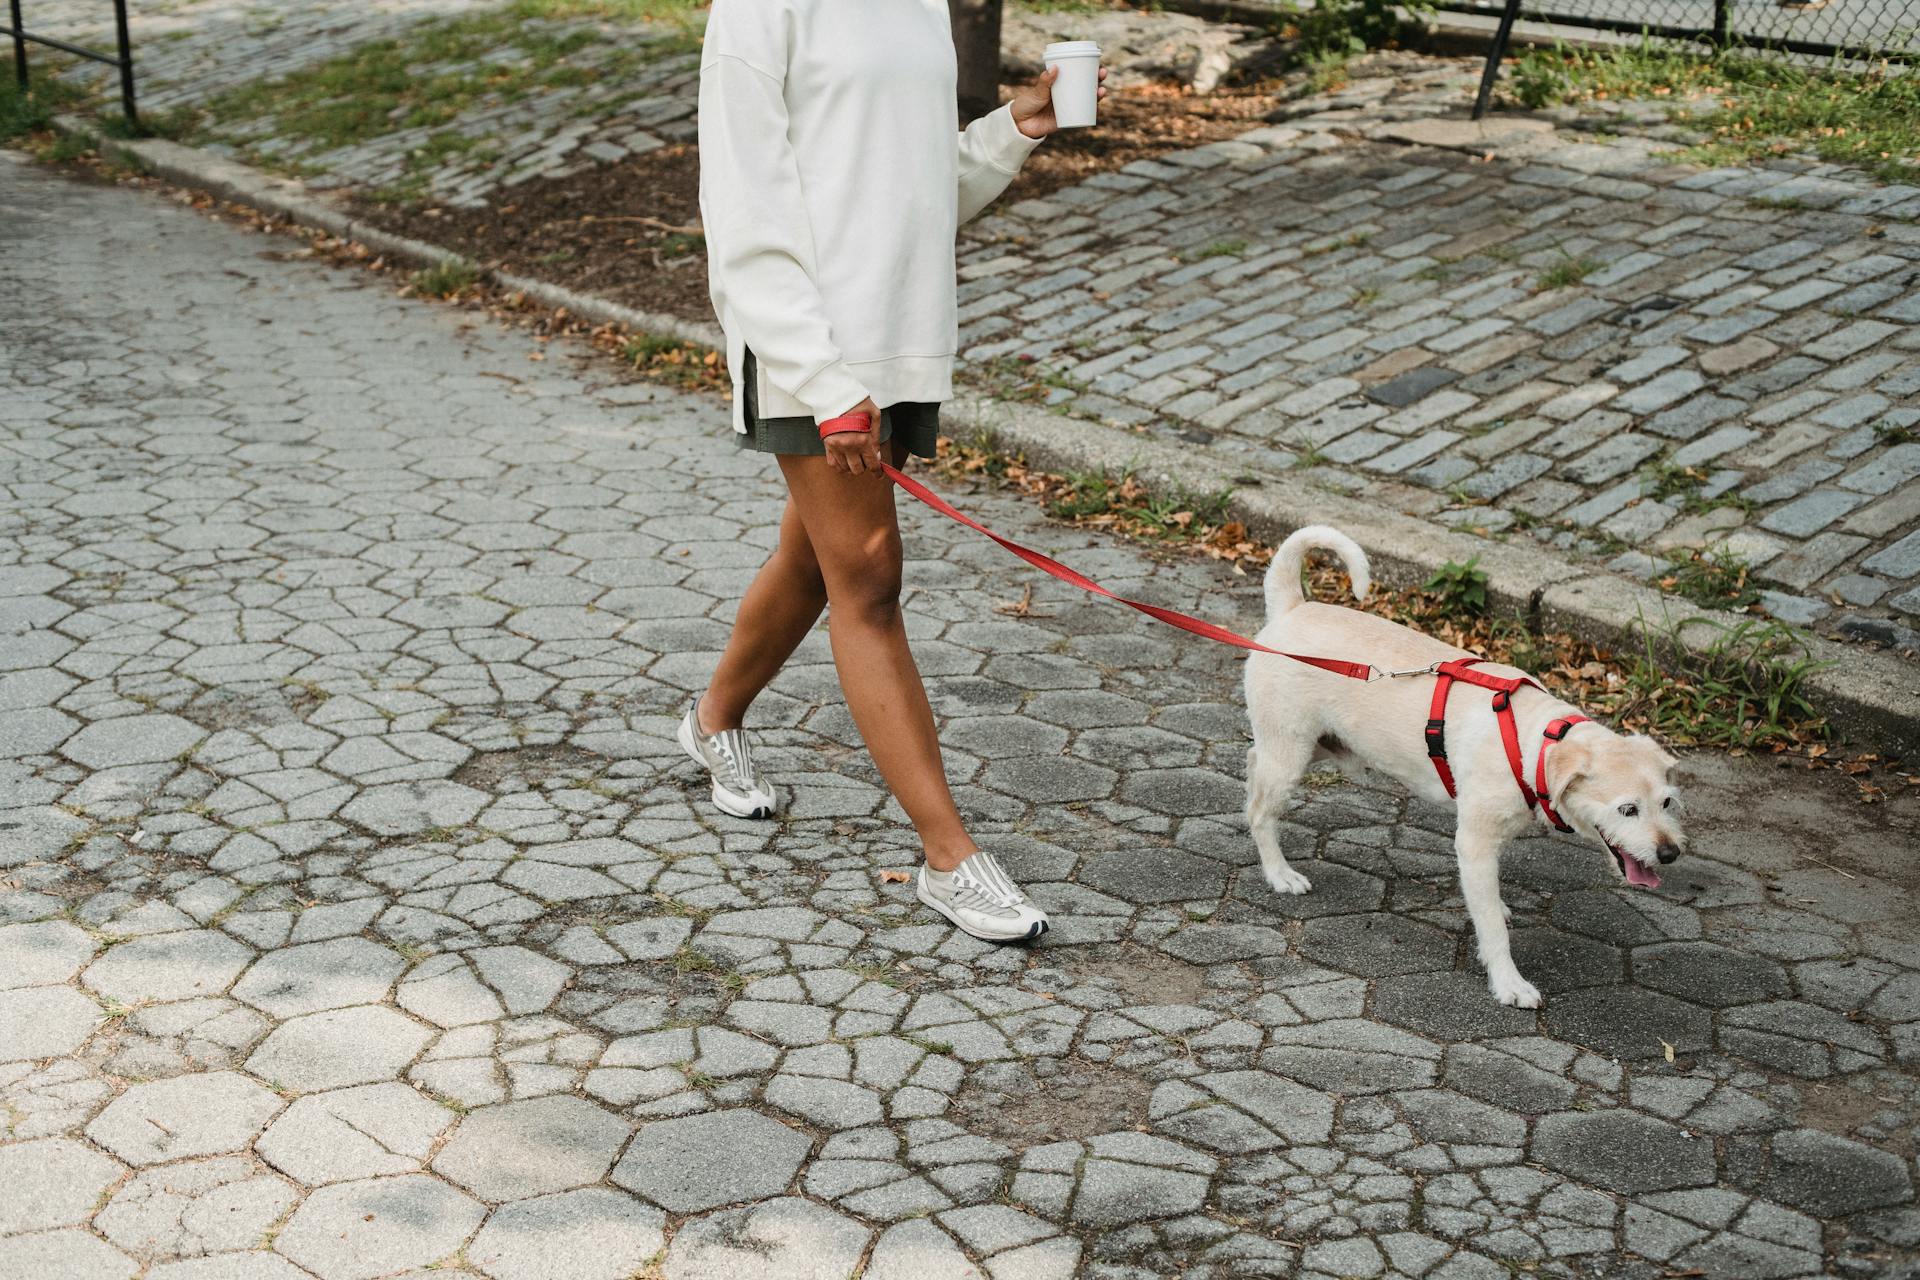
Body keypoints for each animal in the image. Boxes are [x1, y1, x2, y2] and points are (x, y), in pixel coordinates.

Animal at [1244, 525, 1681, 1005]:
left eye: (1667, 803)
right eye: (1627, 809)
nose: (1670, 853)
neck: (1537, 742)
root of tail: (1293, 608)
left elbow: (1489, 899)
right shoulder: (1474, 843)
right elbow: (1491, 928)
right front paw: (1508, 982)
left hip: (1322, 743)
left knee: (1253, 761)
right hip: (1291, 752)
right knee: (1260, 811)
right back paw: (1279, 873)